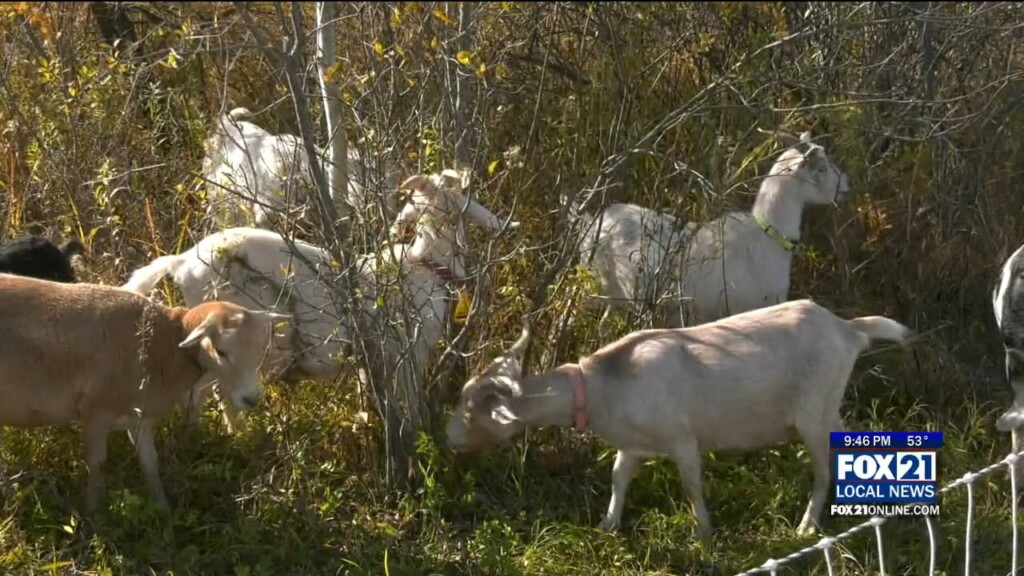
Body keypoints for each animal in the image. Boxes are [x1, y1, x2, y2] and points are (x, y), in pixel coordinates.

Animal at [0, 273, 285, 512]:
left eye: (260, 349)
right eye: (221, 351)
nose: (252, 398)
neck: (163, 344)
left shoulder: (139, 417)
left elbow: (150, 464)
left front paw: (163, 511)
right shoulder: (96, 410)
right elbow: (98, 464)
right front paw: (93, 517)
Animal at [121, 169, 517, 432]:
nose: (504, 225)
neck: (425, 265)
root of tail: (181, 261)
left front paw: (365, 421)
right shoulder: (409, 353)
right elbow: (411, 401)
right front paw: (418, 433)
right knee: (205, 393)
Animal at [445, 299, 912, 541]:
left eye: (471, 409)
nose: (448, 436)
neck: (602, 386)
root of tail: (848, 329)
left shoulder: (682, 438)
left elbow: (691, 484)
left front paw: (704, 535)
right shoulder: (632, 445)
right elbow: (618, 477)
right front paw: (608, 524)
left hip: (812, 413)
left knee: (821, 472)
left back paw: (805, 527)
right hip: (828, 406)